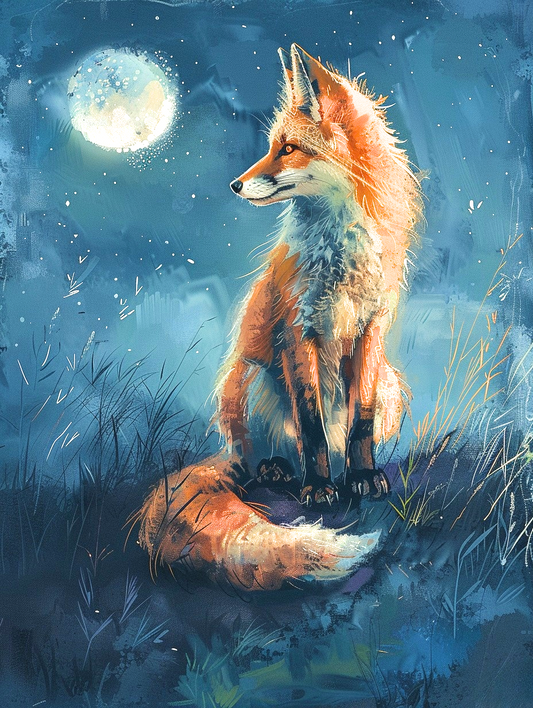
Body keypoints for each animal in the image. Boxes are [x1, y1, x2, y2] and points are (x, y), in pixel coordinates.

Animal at [137, 44, 423, 591]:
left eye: (288, 148)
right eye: (273, 146)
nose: (234, 185)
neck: (339, 248)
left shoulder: (372, 327)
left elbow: (360, 423)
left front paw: (361, 478)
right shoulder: (297, 329)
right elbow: (310, 424)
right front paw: (319, 487)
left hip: (392, 384)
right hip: (252, 382)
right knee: (264, 457)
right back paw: (279, 471)